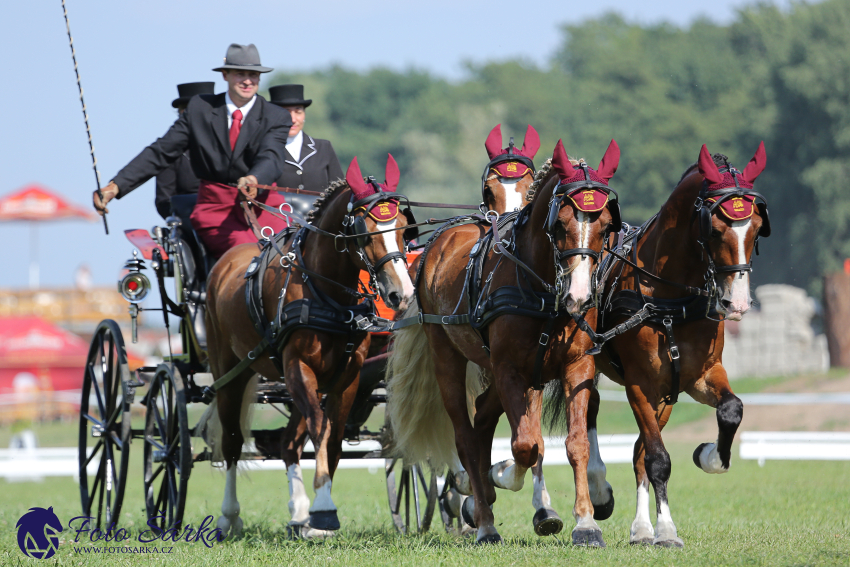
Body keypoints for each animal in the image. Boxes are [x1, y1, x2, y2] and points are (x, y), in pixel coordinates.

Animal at [206, 155, 418, 540]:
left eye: (402, 228)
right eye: (365, 231)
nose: (402, 293)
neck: (325, 292)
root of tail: (225, 263)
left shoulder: (347, 376)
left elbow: (332, 440)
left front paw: (318, 513)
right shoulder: (297, 368)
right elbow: (321, 429)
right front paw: (324, 510)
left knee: (289, 442)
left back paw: (299, 513)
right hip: (229, 372)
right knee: (231, 442)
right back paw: (229, 517)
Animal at [388, 139, 620, 544]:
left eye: (606, 224)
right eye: (560, 224)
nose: (579, 296)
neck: (541, 289)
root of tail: (436, 244)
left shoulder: (575, 365)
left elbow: (574, 442)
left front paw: (586, 523)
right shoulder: (510, 369)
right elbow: (526, 445)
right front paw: (501, 476)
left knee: (482, 417)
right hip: (449, 356)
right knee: (466, 435)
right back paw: (484, 519)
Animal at [564, 144, 768, 548]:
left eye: (755, 228)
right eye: (715, 228)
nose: (736, 303)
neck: (669, 300)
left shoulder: (697, 376)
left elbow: (731, 410)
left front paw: (709, 456)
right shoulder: (640, 385)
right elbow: (659, 459)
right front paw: (668, 531)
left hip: (665, 397)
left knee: (637, 450)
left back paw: (642, 527)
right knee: (592, 412)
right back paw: (599, 493)